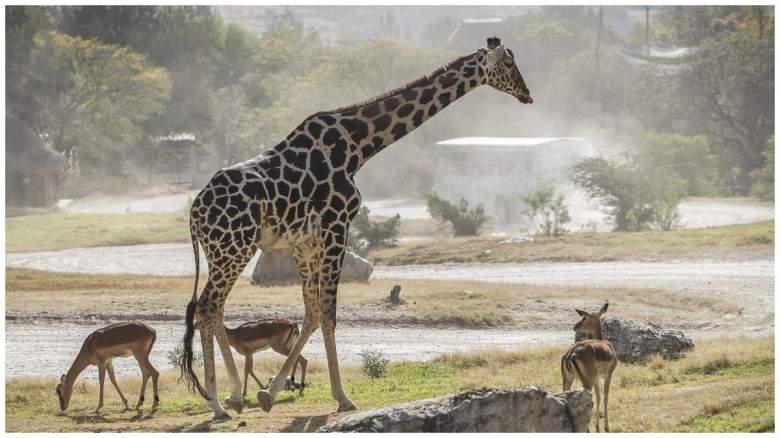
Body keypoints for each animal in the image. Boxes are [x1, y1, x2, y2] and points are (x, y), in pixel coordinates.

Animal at [179, 36, 533, 419]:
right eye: (509, 64)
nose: (527, 94)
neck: (358, 146)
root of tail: (195, 214)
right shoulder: (336, 226)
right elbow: (329, 314)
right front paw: (342, 397)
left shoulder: (305, 242)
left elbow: (312, 312)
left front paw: (268, 394)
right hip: (235, 248)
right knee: (207, 308)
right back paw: (217, 403)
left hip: (222, 252)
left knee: (212, 309)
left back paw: (230, 396)